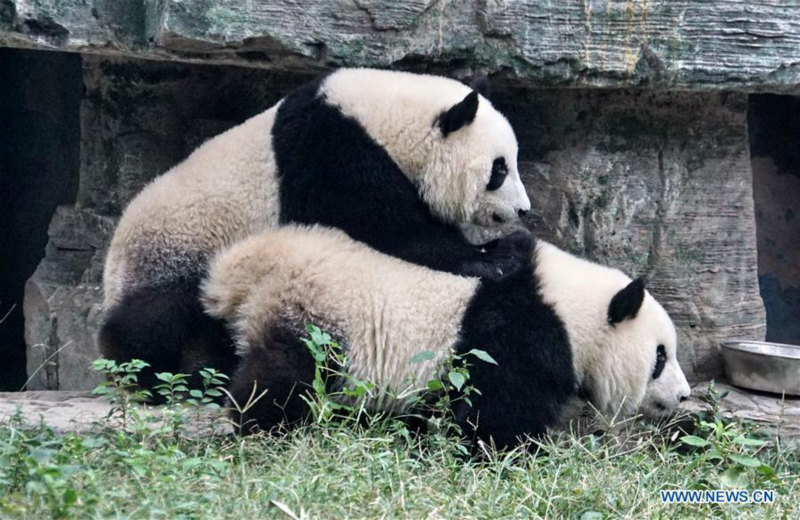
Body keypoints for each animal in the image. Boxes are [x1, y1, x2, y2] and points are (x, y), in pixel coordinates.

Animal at [101, 69, 536, 386]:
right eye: (499, 169)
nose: (524, 209)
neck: (387, 120)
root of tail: (111, 260)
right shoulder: (330, 151)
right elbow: (384, 227)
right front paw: (496, 257)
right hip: (177, 246)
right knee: (155, 316)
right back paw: (143, 373)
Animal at [202, 225, 692, 448]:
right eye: (660, 357)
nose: (684, 396)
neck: (571, 309)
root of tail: (252, 268)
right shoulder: (519, 336)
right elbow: (497, 412)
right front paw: (512, 451)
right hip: (317, 325)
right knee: (281, 381)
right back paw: (261, 426)